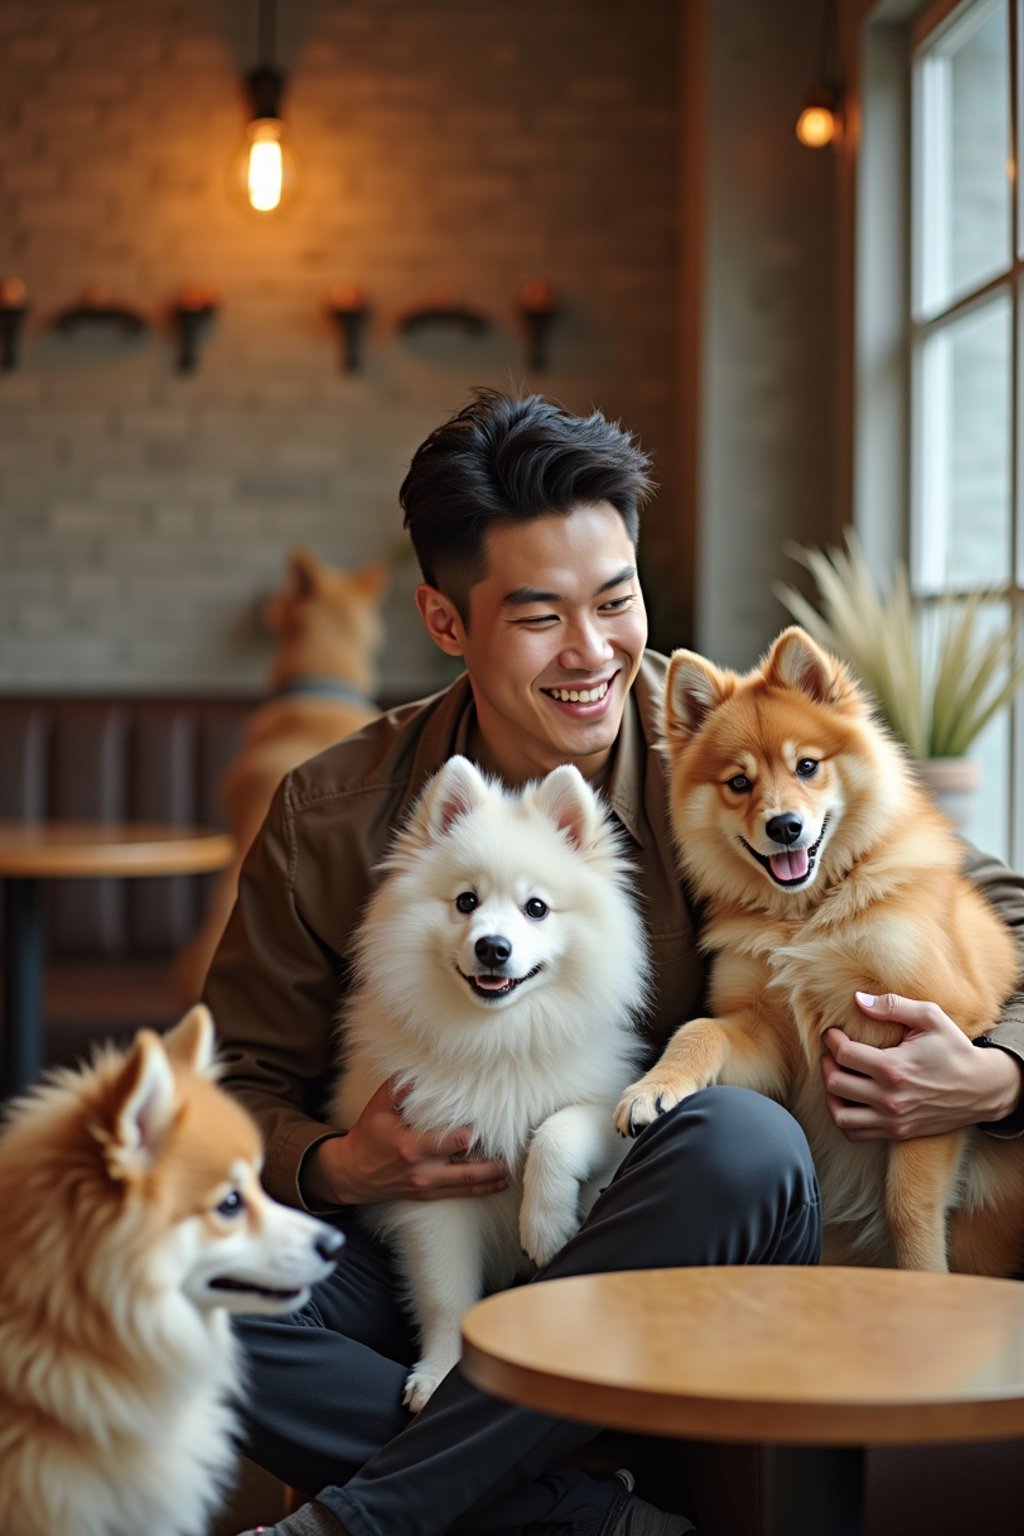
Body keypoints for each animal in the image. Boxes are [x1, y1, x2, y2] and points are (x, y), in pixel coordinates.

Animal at [333, 749, 644, 1406]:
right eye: (466, 902)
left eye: (536, 907)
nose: (493, 948)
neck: (497, 1040)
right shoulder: (429, 1184)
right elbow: (446, 1293)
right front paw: (441, 1372)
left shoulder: (609, 1105)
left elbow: (556, 1131)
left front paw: (545, 1227)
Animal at [617, 629, 1024, 1277]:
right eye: (739, 783)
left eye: (806, 766)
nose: (785, 826)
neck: (806, 919)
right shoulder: (765, 1034)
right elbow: (700, 1031)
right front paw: (654, 1088)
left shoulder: (936, 1040)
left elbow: (908, 1204)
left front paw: (922, 1278)